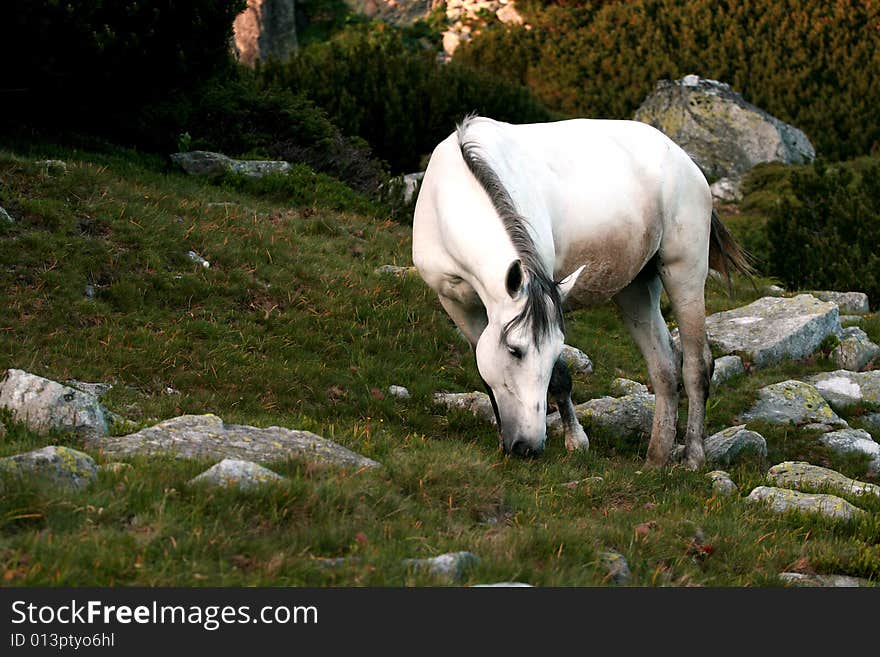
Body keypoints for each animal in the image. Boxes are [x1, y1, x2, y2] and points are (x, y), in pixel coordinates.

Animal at [412, 115, 748, 468]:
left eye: (554, 349)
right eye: (515, 350)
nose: (528, 447)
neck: (454, 195)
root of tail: (684, 159)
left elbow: (560, 376)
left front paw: (576, 441)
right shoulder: (457, 304)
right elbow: (485, 371)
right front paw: (504, 438)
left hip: (685, 271)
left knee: (696, 365)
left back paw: (693, 456)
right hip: (636, 289)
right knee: (665, 368)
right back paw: (655, 459)